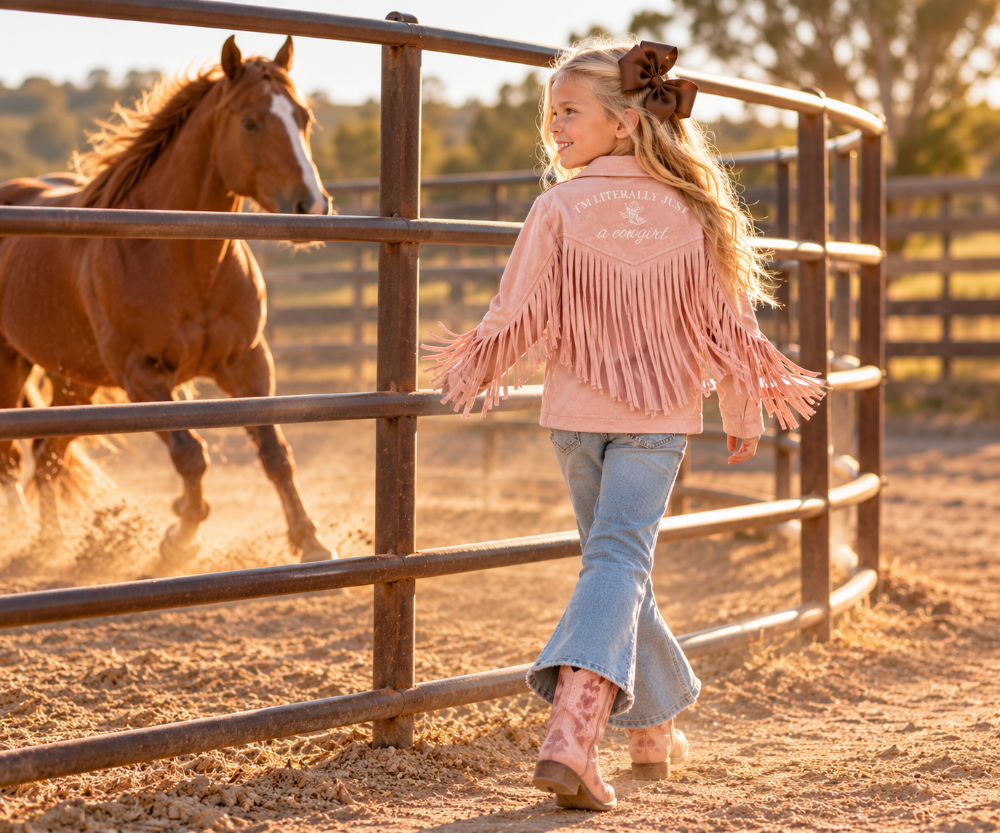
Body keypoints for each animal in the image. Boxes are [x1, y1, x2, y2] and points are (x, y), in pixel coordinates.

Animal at [0, 36, 337, 565]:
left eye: (303, 116)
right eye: (250, 122)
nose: (312, 204)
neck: (182, 255)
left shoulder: (248, 364)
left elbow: (275, 452)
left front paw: (310, 540)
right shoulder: (142, 375)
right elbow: (189, 454)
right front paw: (180, 537)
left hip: (75, 384)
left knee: (46, 456)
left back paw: (51, 540)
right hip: (12, 367)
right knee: (12, 457)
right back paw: (23, 534)